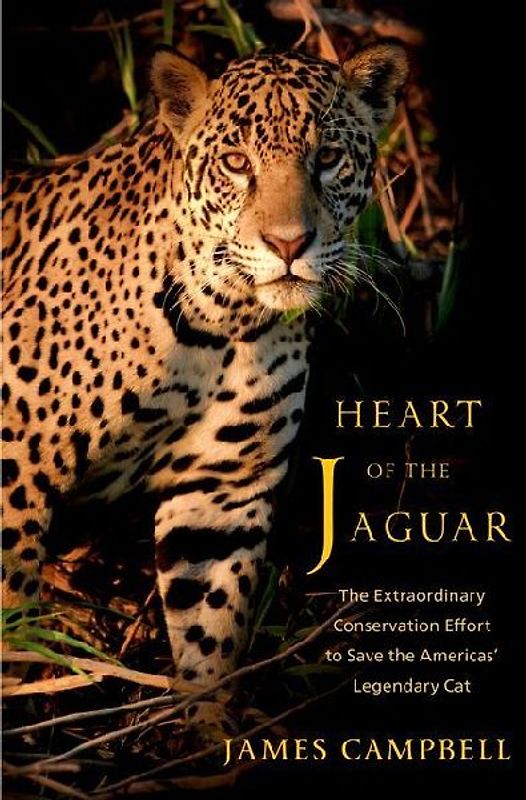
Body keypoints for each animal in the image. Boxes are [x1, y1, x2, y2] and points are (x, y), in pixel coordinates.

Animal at [1, 44, 407, 707]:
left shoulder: (221, 492)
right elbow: (10, 600)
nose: (288, 244)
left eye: (326, 158)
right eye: (236, 163)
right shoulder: (15, 459)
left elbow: (211, 625)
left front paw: (209, 724)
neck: (222, 324)